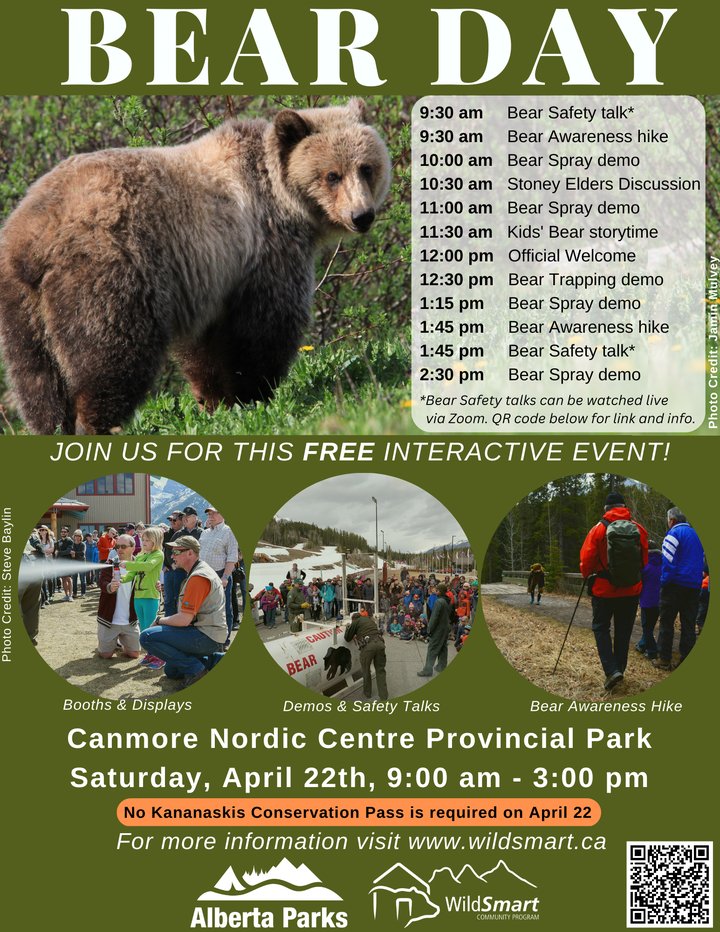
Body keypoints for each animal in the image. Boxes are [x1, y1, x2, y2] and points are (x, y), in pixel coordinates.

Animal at [0, 100, 388, 436]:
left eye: (367, 168)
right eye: (332, 175)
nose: (362, 216)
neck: (285, 201)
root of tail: (35, 235)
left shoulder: (206, 276)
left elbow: (204, 347)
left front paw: (215, 401)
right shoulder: (264, 251)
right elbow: (266, 326)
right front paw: (256, 394)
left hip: (21, 303)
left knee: (36, 376)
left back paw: (51, 427)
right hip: (109, 270)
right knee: (111, 352)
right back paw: (98, 424)